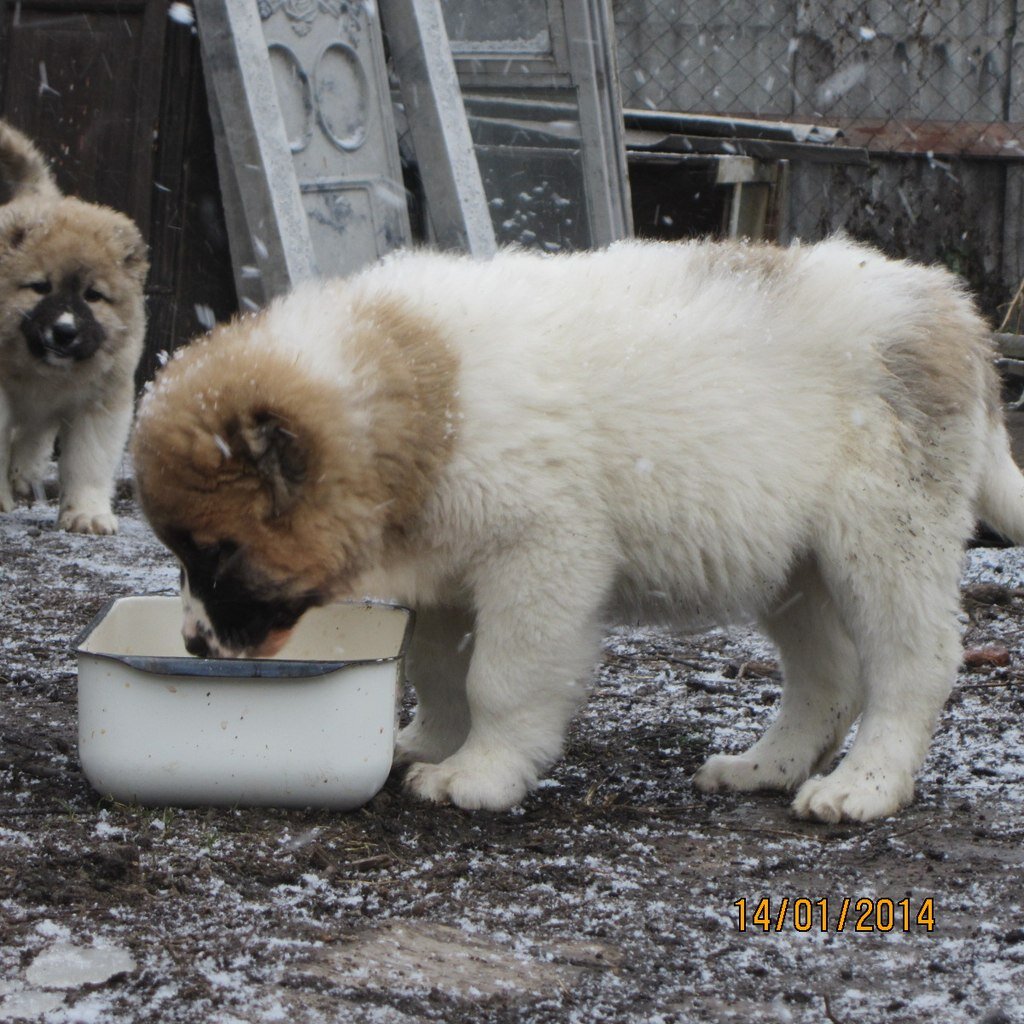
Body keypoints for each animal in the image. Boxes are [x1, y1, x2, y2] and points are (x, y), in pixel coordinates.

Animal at [132, 239, 1024, 823]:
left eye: (216, 551)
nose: (194, 646)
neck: (426, 400)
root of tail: (955, 309)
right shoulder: (449, 571)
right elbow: (438, 670)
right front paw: (430, 742)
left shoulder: (539, 556)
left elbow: (500, 678)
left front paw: (481, 776)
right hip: (790, 561)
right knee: (828, 675)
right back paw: (764, 767)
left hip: (887, 534)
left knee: (909, 665)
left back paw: (863, 787)